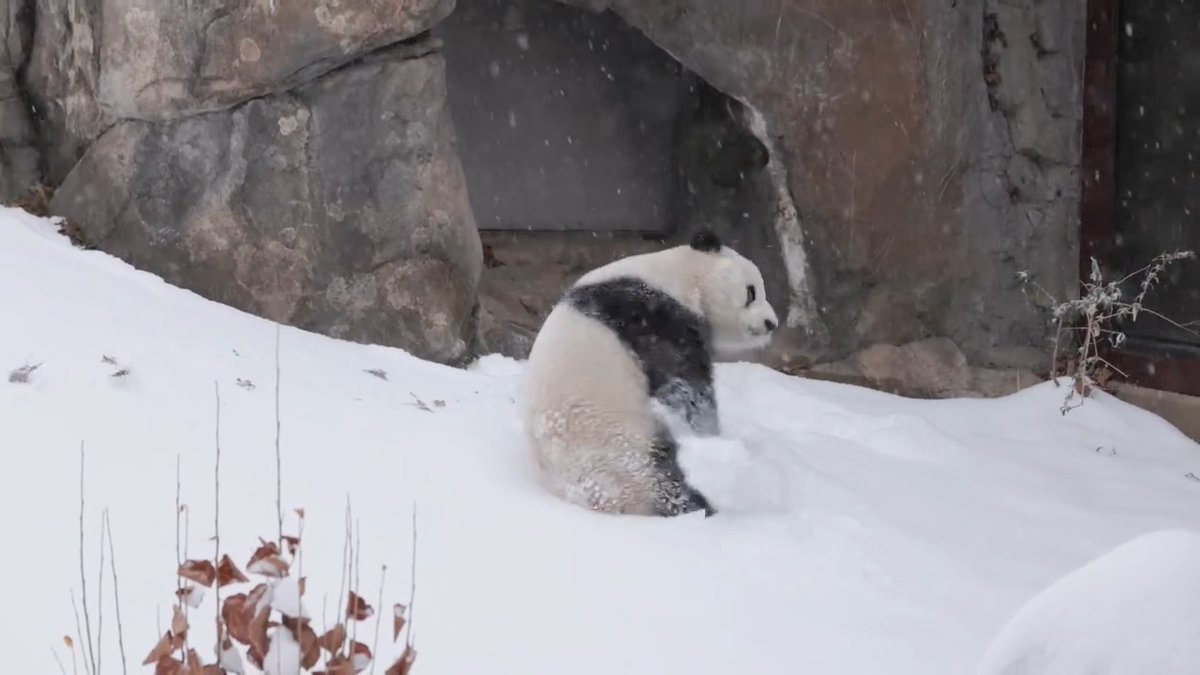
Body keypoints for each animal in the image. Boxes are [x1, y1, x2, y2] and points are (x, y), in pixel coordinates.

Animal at [521, 229, 780, 517]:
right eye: (751, 292)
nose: (771, 323)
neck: (679, 274)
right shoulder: (651, 317)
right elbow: (683, 383)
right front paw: (711, 435)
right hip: (622, 449)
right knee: (666, 483)